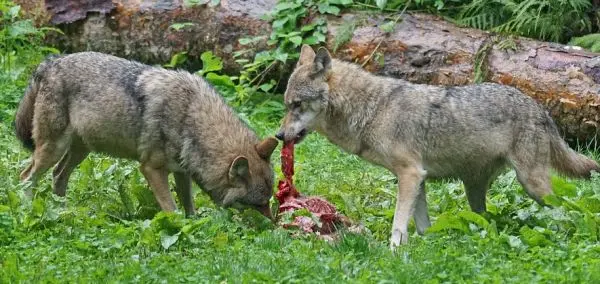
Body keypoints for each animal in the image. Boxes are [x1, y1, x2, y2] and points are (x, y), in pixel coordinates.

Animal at [13, 52, 276, 217]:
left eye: (268, 201)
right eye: (259, 204)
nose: (273, 226)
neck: (189, 116)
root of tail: (50, 62)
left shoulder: (182, 172)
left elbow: (189, 207)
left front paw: (194, 225)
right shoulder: (151, 169)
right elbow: (171, 209)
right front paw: (177, 228)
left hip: (80, 151)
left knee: (58, 176)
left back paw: (62, 210)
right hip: (53, 149)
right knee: (26, 176)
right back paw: (28, 209)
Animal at [276, 43, 600, 246]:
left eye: (297, 105)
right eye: (286, 104)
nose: (279, 136)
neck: (374, 109)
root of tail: (539, 107)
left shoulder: (410, 175)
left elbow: (398, 224)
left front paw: (393, 251)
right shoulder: (417, 178)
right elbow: (422, 226)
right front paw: (425, 247)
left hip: (533, 184)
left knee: (567, 209)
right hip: (476, 191)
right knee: (485, 218)